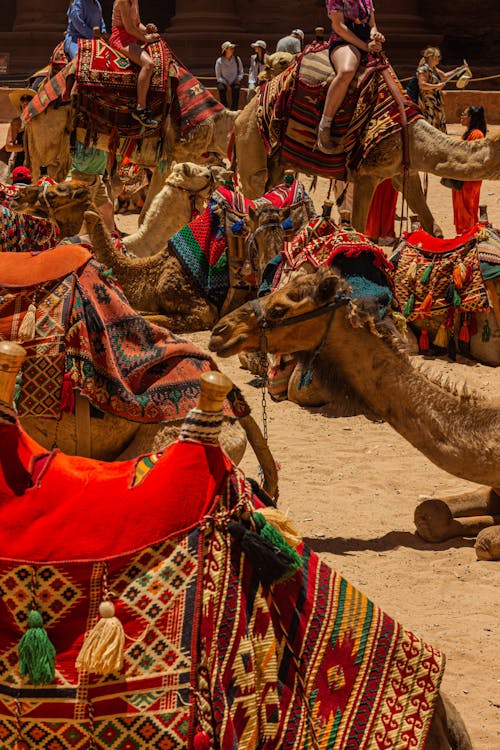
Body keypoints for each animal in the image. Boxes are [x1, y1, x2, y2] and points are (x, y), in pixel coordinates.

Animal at [234, 93, 500, 236]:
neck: (414, 139)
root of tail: (242, 111)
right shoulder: (366, 175)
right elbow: (359, 227)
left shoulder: (404, 172)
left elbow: (432, 226)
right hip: (252, 144)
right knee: (254, 192)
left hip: (277, 163)